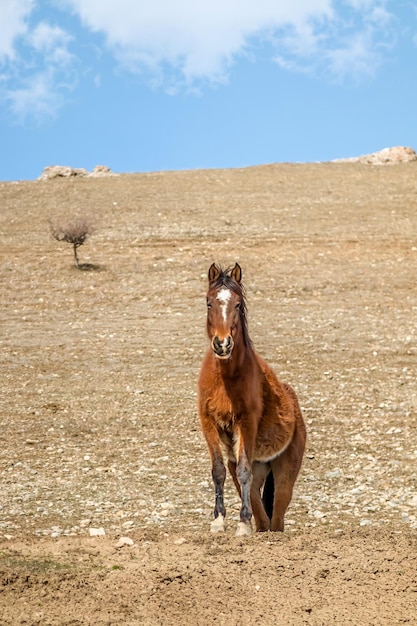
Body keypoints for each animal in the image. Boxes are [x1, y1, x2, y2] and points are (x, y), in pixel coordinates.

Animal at [197, 260, 304, 532]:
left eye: (237, 304)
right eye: (209, 302)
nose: (222, 344)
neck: (225, 379)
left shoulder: (246, 422)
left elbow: (244, 469)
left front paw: (243, 524)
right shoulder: (208, 422)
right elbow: (218, 470)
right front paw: (218, 520)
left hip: (285, 475)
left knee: (275, 517)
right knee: (260, 510)